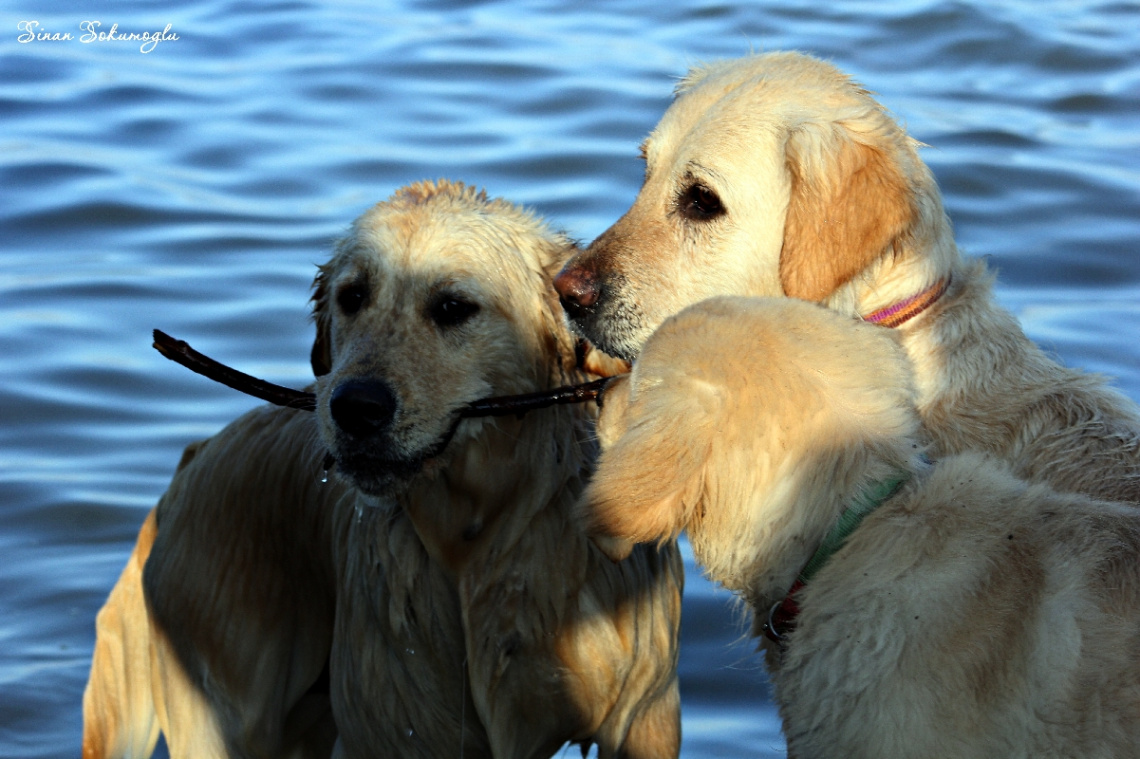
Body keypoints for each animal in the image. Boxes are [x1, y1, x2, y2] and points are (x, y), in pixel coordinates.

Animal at [84, 182, 684, 756]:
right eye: (352, 297)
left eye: (452, 306)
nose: (355, 408)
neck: (482, 532)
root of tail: (190, 462)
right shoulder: (402, 725)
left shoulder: (644, 715)